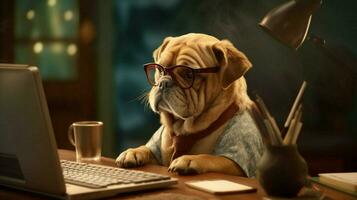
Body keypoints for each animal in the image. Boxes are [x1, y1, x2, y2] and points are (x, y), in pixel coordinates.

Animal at [115, 33, 262, 177]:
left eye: (188, 74)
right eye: (160, 70)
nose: (164, 82)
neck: (184, 129)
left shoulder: (236, 162)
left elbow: (212, 158)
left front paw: (189, 159)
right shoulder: (158, 155)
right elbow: (147, 149)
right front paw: (134, 151)